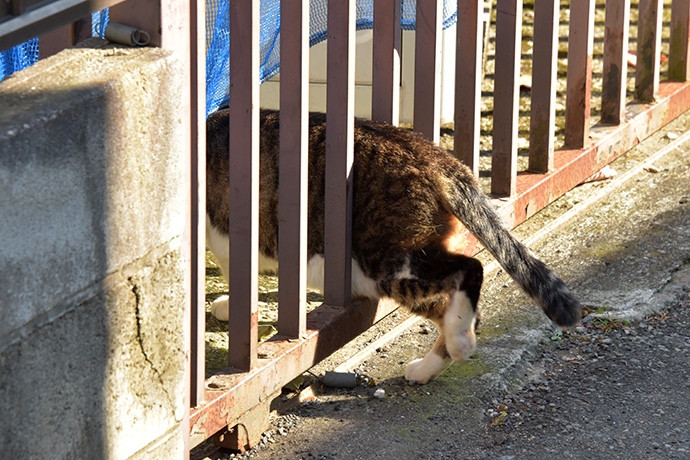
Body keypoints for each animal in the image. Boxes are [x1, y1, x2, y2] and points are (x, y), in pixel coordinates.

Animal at [206, 108, 580, 384]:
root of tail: (435, 156)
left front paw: (231, 306)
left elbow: (235, 273)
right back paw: (439, 357)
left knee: (470, 268)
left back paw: (458, 343)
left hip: (386, 263)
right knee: (455, 308)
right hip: (384, 274)